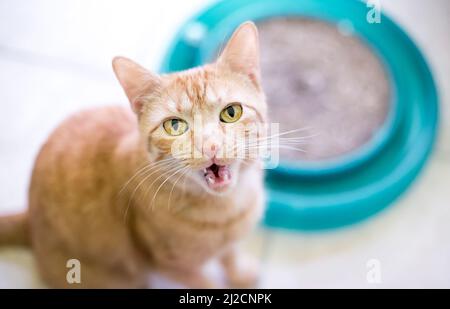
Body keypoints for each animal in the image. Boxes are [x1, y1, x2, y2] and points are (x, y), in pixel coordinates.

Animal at [0, 21, 266, 286]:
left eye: (231, 112)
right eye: (175, 126)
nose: (209, 145)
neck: (226, 209)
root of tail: (30, 219)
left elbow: (230, 254)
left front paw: (239, 273)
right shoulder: (167, 265)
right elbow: (203, 282)